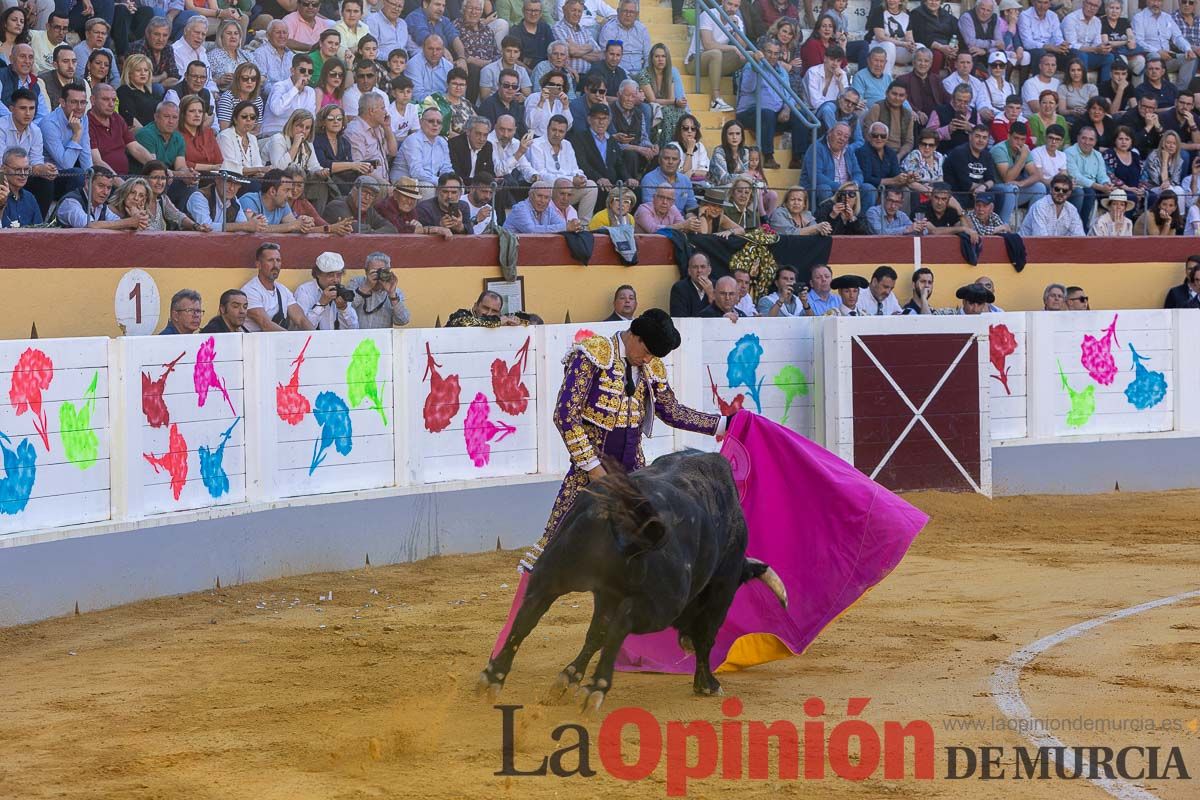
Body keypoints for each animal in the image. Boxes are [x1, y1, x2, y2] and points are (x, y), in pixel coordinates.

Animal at [477, 450, 787, 714]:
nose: (684, 641)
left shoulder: (607, 593)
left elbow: (596, 633)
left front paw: (568, 679)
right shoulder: (721, 589)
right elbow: (706, 637)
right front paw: (707, 684)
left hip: (551, 572)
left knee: (528, 615)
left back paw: (493, 677)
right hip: (662, 605)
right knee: (622, 624)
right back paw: (597, 689)